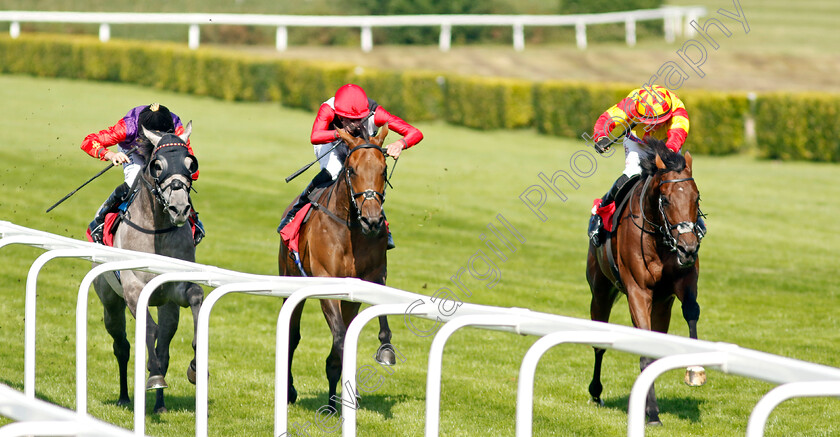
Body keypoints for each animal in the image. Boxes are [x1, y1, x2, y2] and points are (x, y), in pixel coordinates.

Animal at [92, 122, 204, 412]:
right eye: (157, 165)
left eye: (190, 163)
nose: (179, 209)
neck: (157, 231)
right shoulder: (132, 289)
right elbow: (147, 329)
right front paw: (153, 376)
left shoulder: (175, 289)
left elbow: (196, 296)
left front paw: (195, 367)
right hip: (110, 303)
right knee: (121, 346)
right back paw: (124, 396)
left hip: (167, 307)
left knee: (164, 347)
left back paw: (160, 405)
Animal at [278, 122, 398, 406]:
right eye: (352, 170)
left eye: (383, 169)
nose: (372, 221)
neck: (351, 227)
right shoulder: (326, 282)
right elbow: (341, 339)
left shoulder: (372, 278)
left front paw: (386, 349)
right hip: (289, 280)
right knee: (292, 335)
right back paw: (290, 390)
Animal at [588, 139, 704, 426]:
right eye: (666, 199)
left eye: (696, 198)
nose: (688, 248)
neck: (660, 238)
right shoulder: (637, 292)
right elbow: (645, 352)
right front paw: (652, 414)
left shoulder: (682, 284)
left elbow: (691, 311)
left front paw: (695, 369)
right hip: (600, 292)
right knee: (599, 344)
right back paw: (596, 393)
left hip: (662, 305)